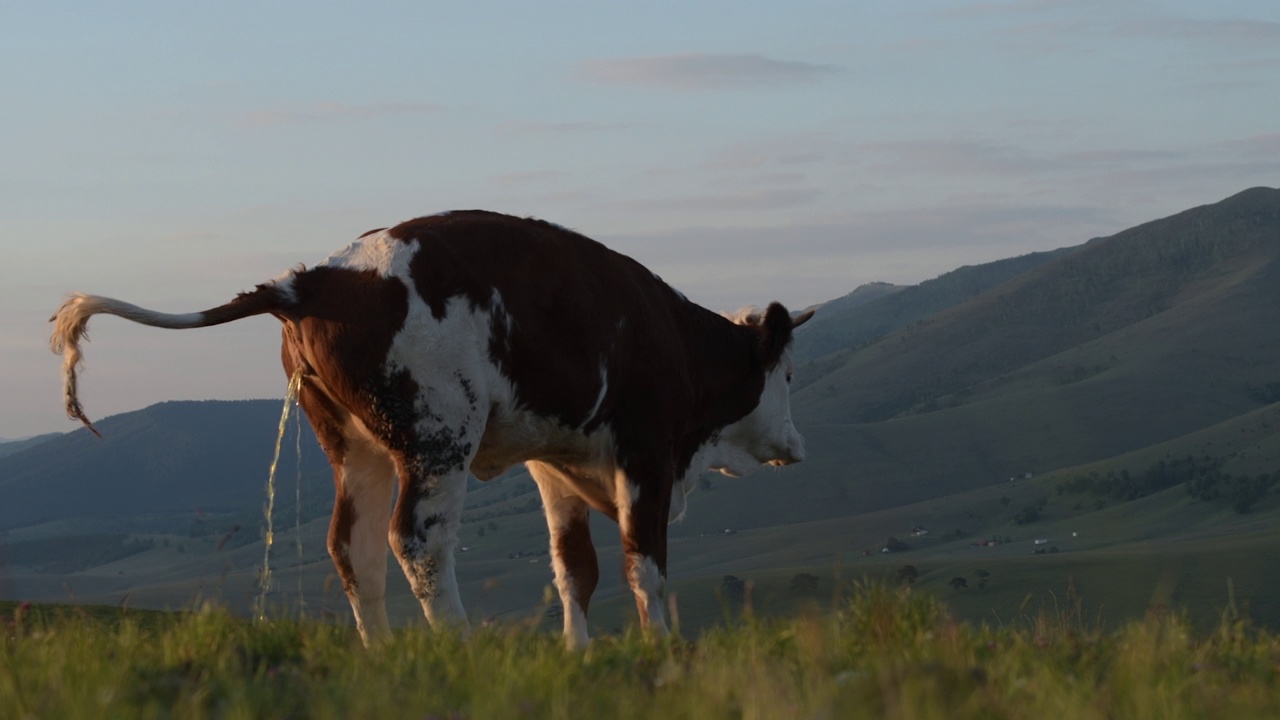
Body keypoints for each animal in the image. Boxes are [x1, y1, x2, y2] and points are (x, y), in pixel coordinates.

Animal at [49, 208, 814, 645]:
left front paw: (579, 655)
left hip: (353, 445)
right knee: (416, 542)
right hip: (437, 438)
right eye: (788, 376)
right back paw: (458, 648)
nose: (799, 446)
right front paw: (662, 656)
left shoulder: (556, 461)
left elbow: (575, 569)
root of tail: (311, 280)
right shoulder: (646, 454)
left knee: (351, 546)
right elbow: (643, 567)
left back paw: (382, 656)